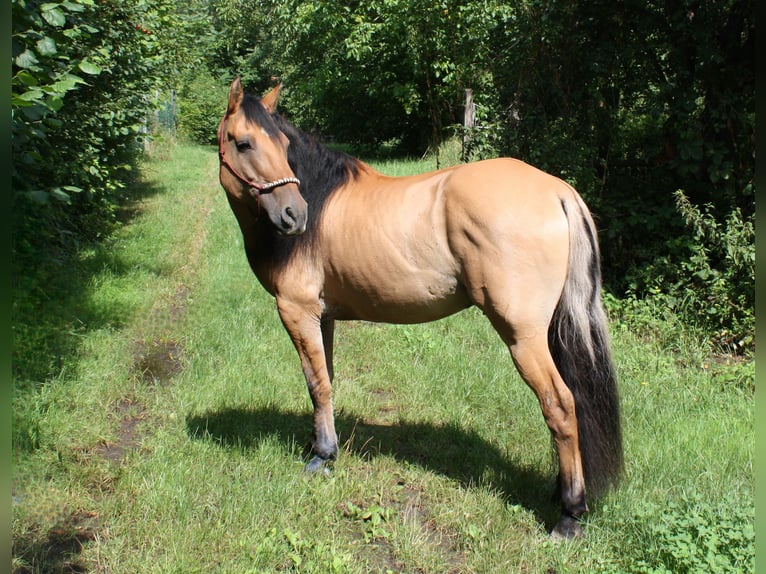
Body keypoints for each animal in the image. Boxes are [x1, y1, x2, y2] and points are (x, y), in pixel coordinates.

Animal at [216, 77, 624, 540]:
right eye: (245, 143)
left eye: (283, 145)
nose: (294, 215)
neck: (320, 202)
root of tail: (558, 190)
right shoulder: (324, 318)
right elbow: (326, 379)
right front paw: (324, 445)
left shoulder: (296, 311)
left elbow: (316, 384)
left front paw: (321, 456)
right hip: (551, 330)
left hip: (523, 337)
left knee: (560, 405)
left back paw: (570, 514)